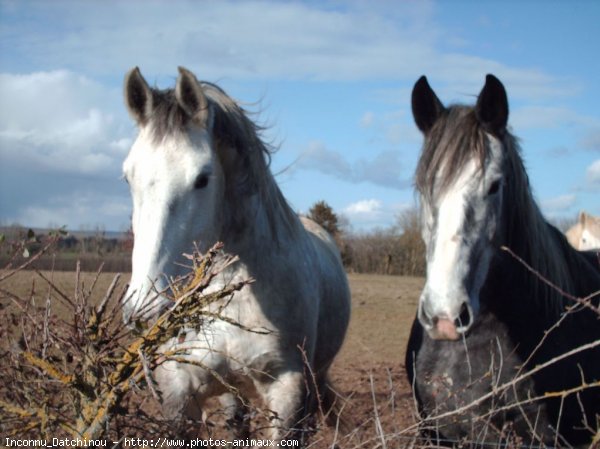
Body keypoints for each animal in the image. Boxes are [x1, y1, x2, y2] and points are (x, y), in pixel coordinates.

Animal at [122, 67, 352, 440]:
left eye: (202, 178)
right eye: (128, 177)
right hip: (232, 391)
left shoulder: (288, 389)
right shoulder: (178, 386)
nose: (143, 308)